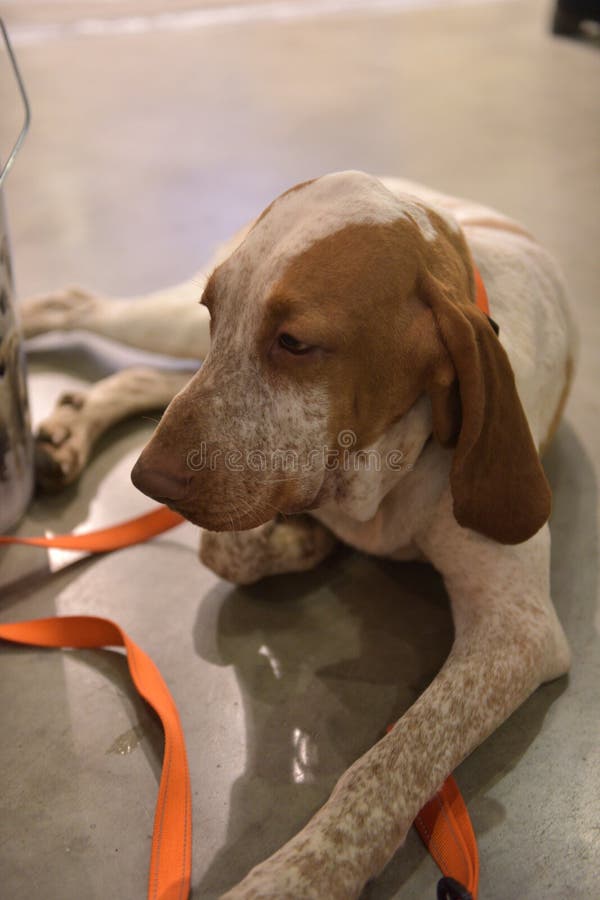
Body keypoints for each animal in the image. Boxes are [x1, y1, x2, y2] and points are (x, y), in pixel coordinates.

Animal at [21, 172, 576, 896]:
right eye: (217, 312)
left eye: (294, 343)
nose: (147, 480)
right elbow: (227, 547)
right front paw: (311, 539)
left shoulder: (516, 631)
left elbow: (388, 764)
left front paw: (291, 880)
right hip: (172, 325)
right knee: (78, 303)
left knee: (148, 374)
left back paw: (68, 429)